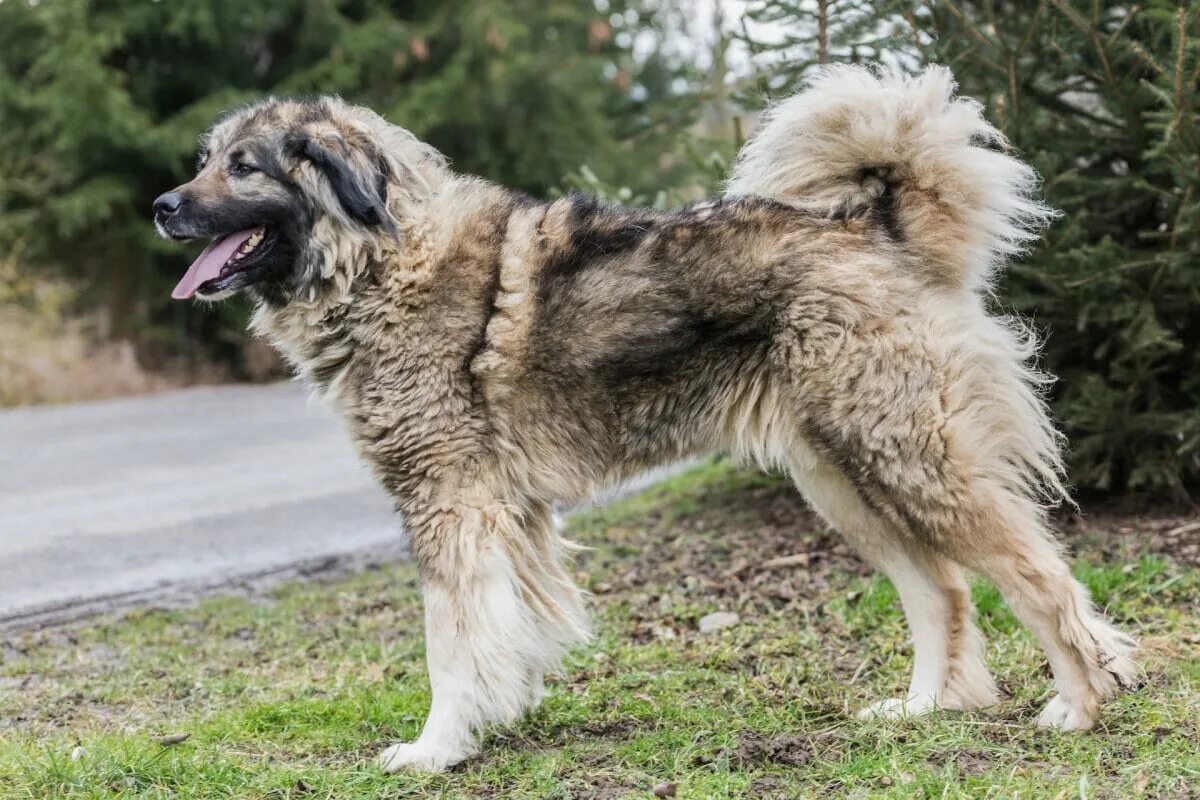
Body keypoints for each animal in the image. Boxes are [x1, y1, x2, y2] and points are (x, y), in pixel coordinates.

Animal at [150, 65, 1132, 772]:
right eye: (205, 160)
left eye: (243, 167)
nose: (162, 206)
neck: (378, 259)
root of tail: (874, 225)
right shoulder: (508, 514)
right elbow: (506, 631)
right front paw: (497, 719)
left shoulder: (448, 504)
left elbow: (450, 643)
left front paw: (436, 748)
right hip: (843, 481)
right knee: (944, 591)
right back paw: (926, 706)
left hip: (908, 463)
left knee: (1038, 575)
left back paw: (1081, 705)